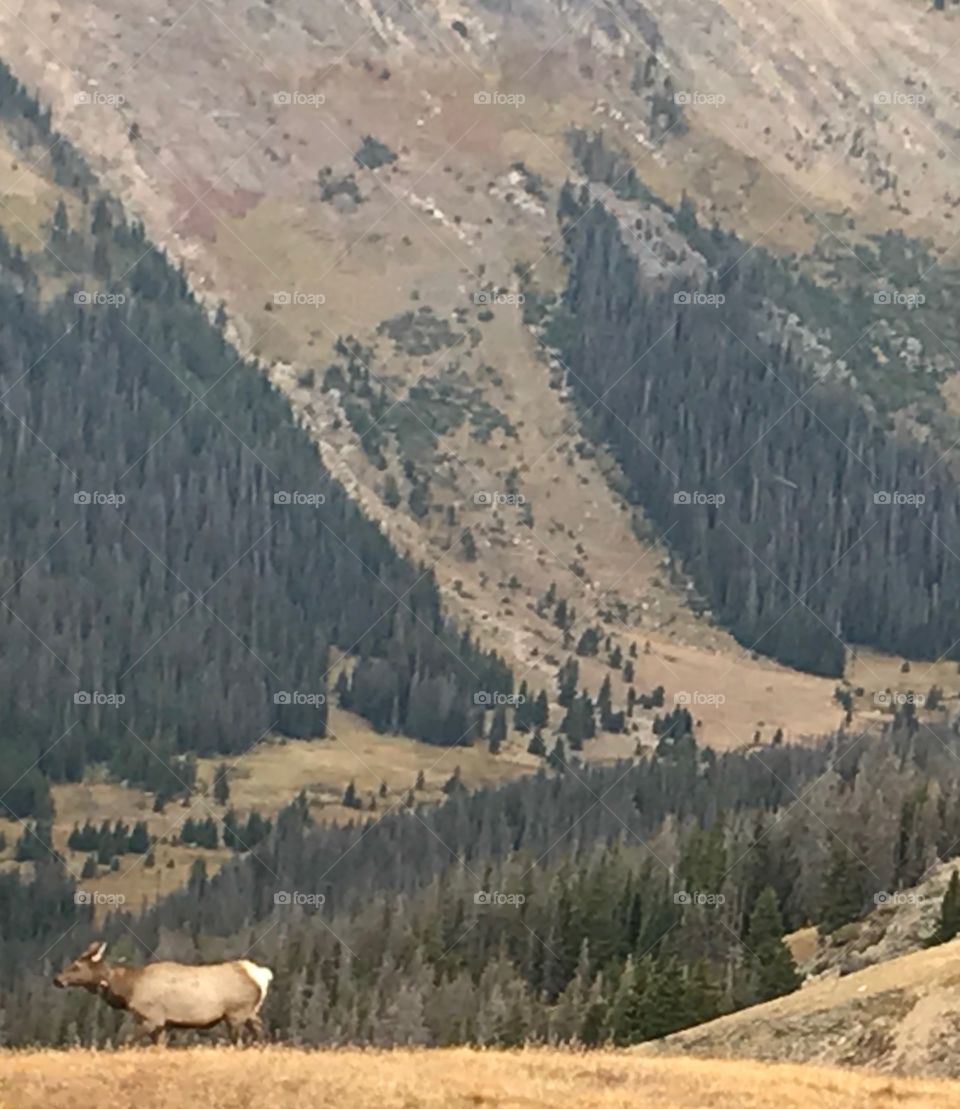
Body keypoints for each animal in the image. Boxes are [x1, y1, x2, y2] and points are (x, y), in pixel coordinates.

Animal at [52, 941, 273, 1044]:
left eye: (76, 966)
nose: (57, 979)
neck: (128, 988)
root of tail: (261, 975)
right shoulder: (162, 1025)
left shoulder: (152, 1018)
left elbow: (125, 1041)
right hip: (250, 1012)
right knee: (261, 1032)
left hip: (236, 1013)